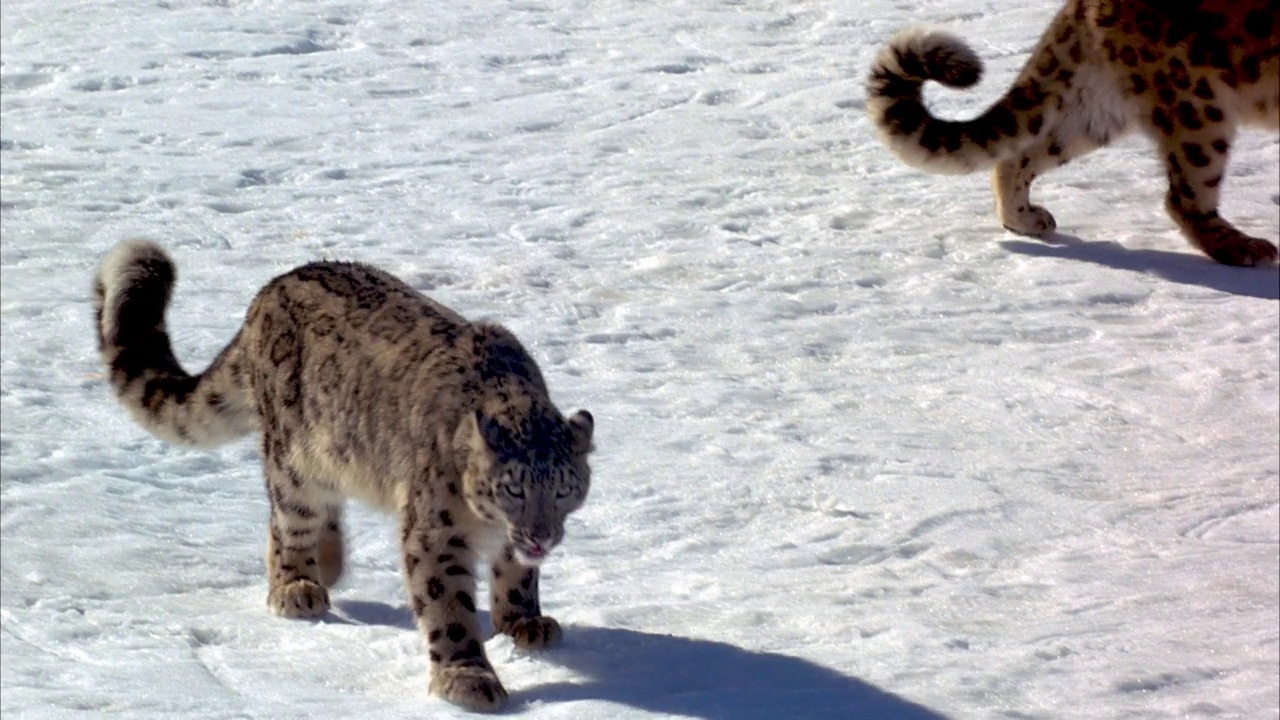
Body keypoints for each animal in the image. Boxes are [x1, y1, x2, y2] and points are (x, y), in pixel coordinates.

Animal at [93, 239, 593, 707]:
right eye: (513, 488)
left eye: (564, 488)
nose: (540, 537)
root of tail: (267, 292)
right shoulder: (436, 533)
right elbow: (448, 606)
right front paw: (467, 678)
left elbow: (517, 577)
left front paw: (524, 622)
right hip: (293, 460)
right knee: (288, 518)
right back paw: (297, 586)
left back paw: (328, 563)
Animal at [865, 0, 1274, 266]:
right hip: (1196, 105)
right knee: (1184, 198)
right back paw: (1245, 248)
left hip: (1096, 110)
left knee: (1017, 157)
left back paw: (1026, 220)